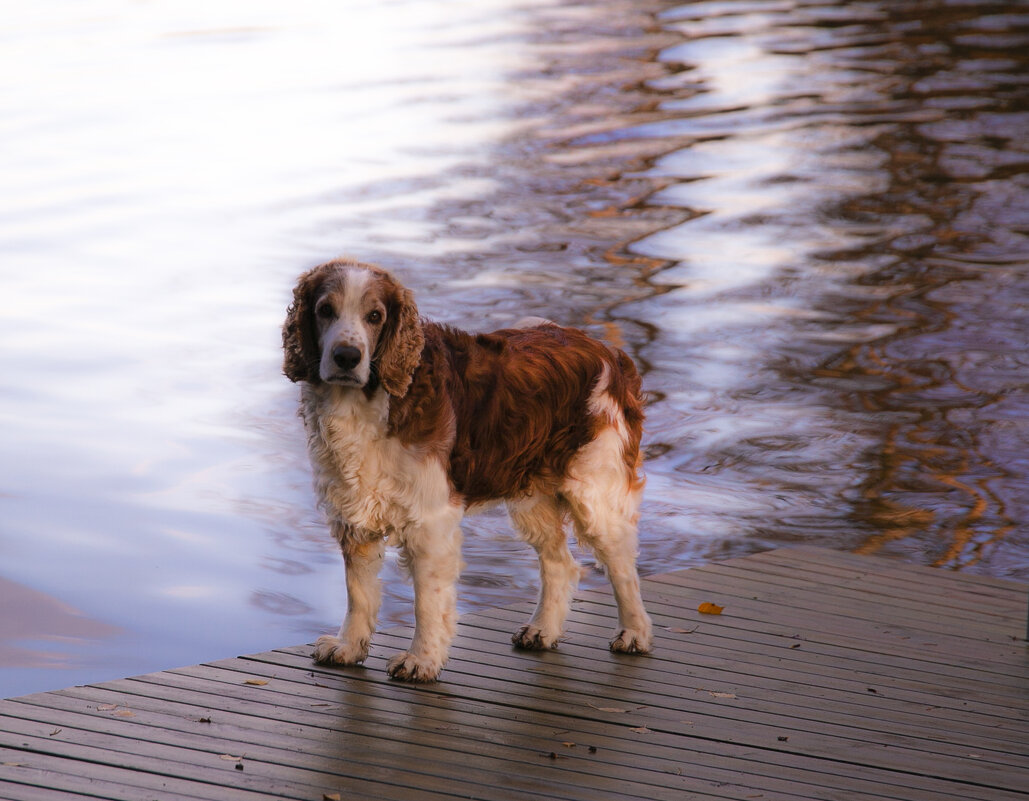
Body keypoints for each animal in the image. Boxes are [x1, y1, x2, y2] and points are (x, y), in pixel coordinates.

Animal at [281, 257, 650, 679]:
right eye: (325, 310)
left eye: (375, 316)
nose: (346, 356)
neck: (369, 404)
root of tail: (608, 351)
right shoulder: (353, 513)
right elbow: (358, 593)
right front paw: (348, 647)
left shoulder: (429, 521)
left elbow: (427, 601)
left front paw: (421, 660)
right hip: (531, 498)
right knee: (561, 563)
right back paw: (542, 630)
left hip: (595, 494)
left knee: (623, 567)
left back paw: (634, 634)